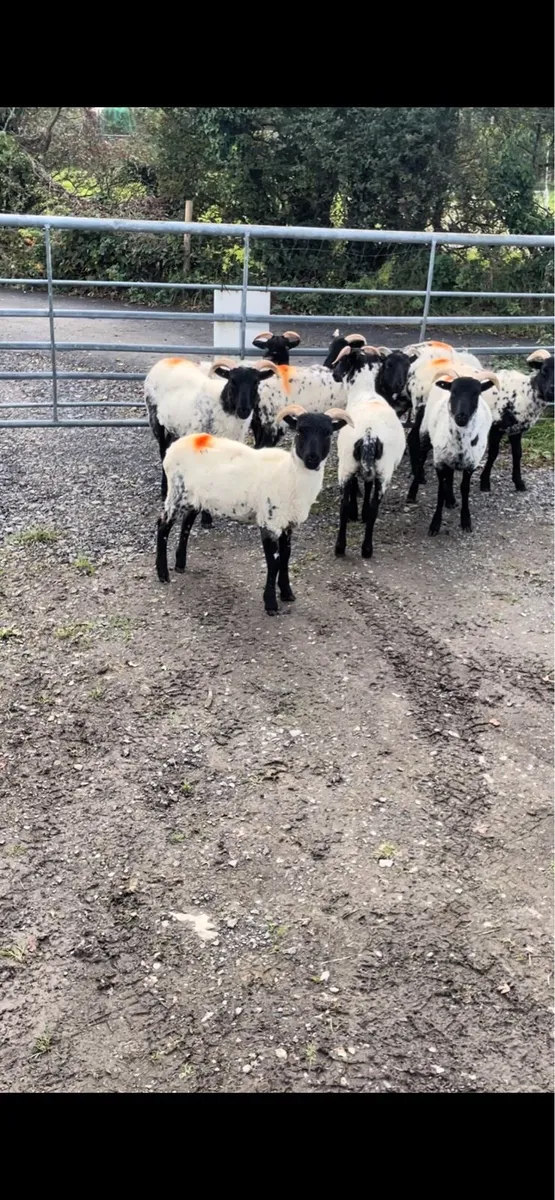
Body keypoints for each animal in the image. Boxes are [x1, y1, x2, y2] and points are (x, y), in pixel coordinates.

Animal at [144, 354, 280, 530]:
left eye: (256, 382)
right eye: (232, 380)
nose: (244, 410)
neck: (223, 407)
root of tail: (167, 359)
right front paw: (206, 518)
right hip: (155, 420)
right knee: (162, 451)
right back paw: (163, 489)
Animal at [155, 404, 354, 614]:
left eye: (328, 433)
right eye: (300, 431)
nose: (312, 459)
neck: (290, 475)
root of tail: (180, 444)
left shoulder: (288, 524)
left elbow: (286, 557)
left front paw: (287, 593)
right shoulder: (269, 521)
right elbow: (273, 563)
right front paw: (271, 603)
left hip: (196, 497)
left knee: (186, 524)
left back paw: (180, 564)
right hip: (177, 492)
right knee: (163, 525)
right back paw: (162, 573)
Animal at [330, 347, 406, 558]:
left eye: (342, 361)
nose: (333, 373)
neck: (365, 393)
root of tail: (369, 435)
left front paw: (357, 513)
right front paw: (360, 513)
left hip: (347, 465)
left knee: (343, 506)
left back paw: (341, 547)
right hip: (383, 470)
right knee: (372, 509)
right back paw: (366, 549)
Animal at [406, 366, 497, 536]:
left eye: (477, 393)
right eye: (453, 392)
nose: (461, 417)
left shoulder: (470, 464)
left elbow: (464, 488)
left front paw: (466, 521)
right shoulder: (439, 461)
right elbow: (440, 489)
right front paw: (435, 524)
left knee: (450, 474)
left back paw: (451, 500)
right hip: (425, 433)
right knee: (421, 459)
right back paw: (412, 494)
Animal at [479, 349, 554, 493]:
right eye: (544, 370)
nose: (552, 391)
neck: (524, 393)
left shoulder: (515, 430)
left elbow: (517, 454)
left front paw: (519, 483)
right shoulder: (496, 427)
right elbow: (493, 453)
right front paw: (484, 482)